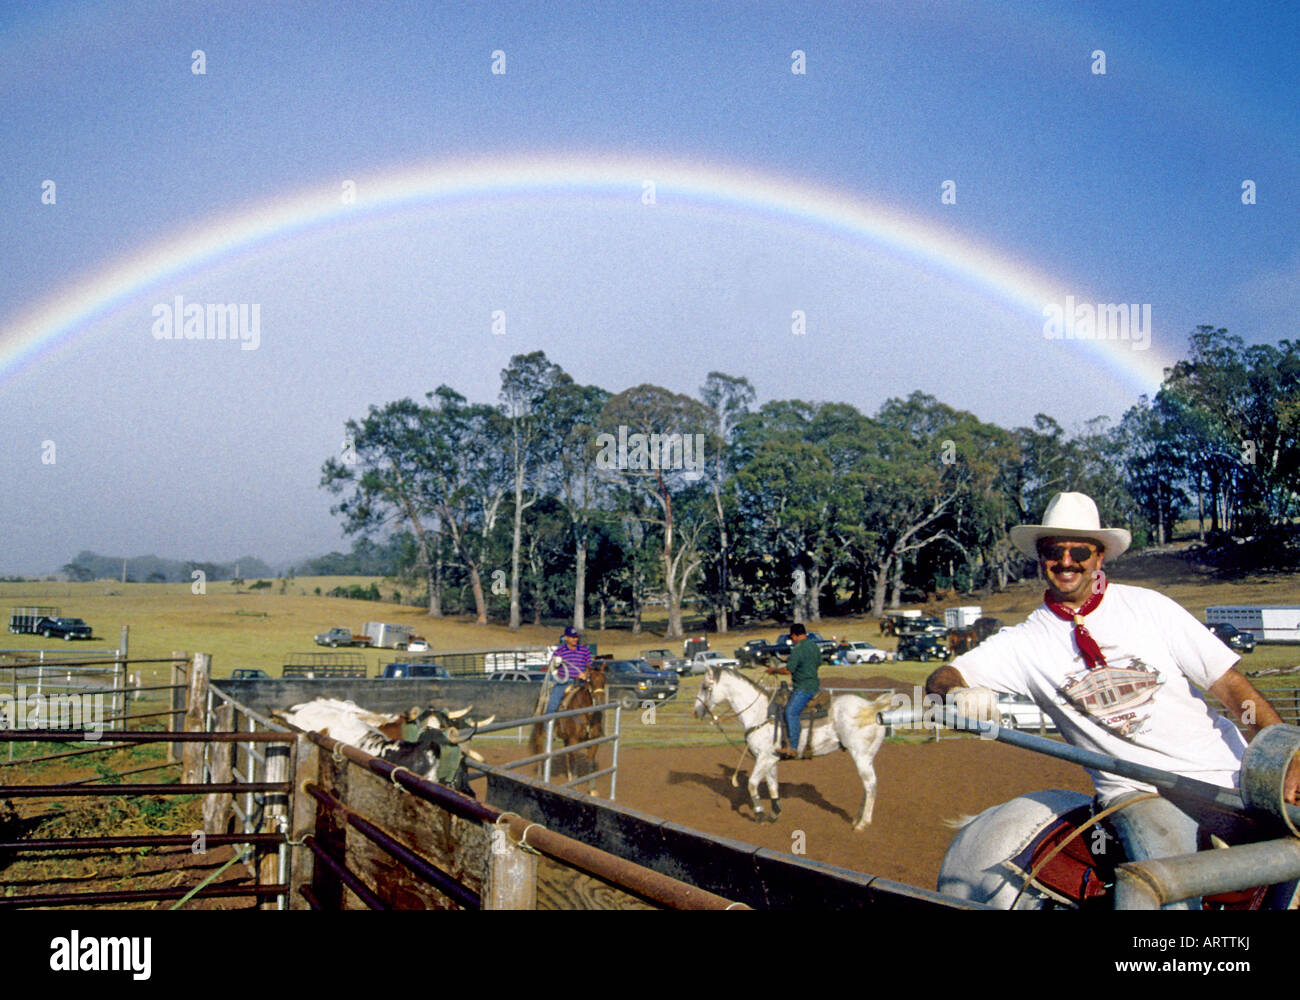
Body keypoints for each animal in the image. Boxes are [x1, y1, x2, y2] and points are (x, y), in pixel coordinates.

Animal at [527, 663, 608, 795]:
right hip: (540, 733)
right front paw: (575, 787)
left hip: (565, 739)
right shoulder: (574, 740)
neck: (586, 714)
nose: (600, 701)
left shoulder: (593, 740)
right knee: (539, 751)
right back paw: (540, 777)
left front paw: (592, 789)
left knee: (566, 757)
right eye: (590, 680)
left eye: (604, 680)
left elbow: (590, 763)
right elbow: (575, 761)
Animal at [691, 663, 894, 827]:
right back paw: (857, 819)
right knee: (867, 786)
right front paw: (774, 813)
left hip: (861, 755)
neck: (760, 713)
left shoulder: (764, 758)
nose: (696, 712)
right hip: (867, 757)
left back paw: (863, 824)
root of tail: (873, 707)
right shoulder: (771, 759)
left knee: (870, 785)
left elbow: (752, 784)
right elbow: (772, 785)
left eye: (705, 687)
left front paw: (760, 815)